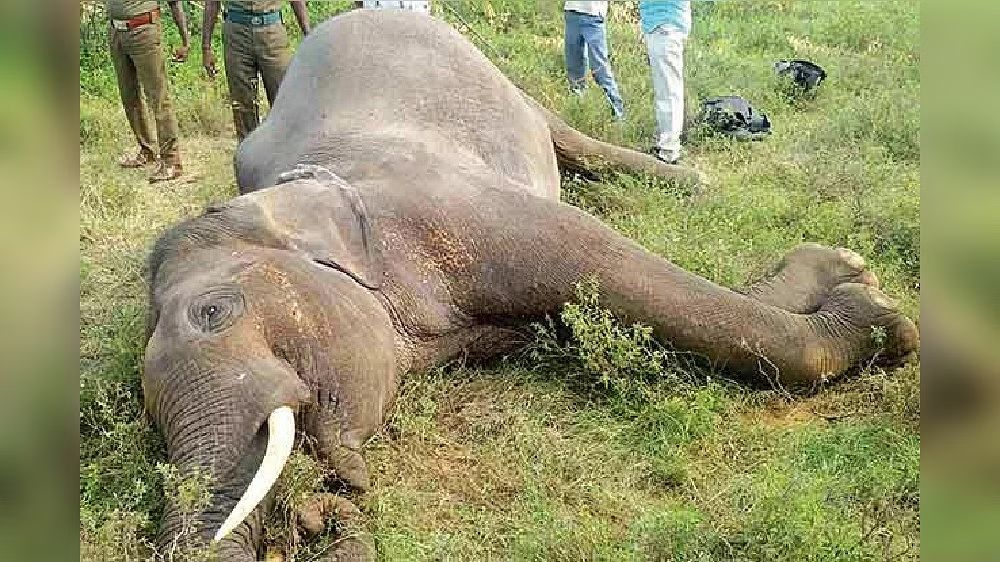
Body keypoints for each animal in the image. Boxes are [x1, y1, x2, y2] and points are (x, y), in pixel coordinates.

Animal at [142, 9, 919, 561]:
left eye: (214, 310)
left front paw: (864, 300)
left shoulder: (448, 207)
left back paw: (694, 183)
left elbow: (609, 265)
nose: (313, 517)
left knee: (569, 137)